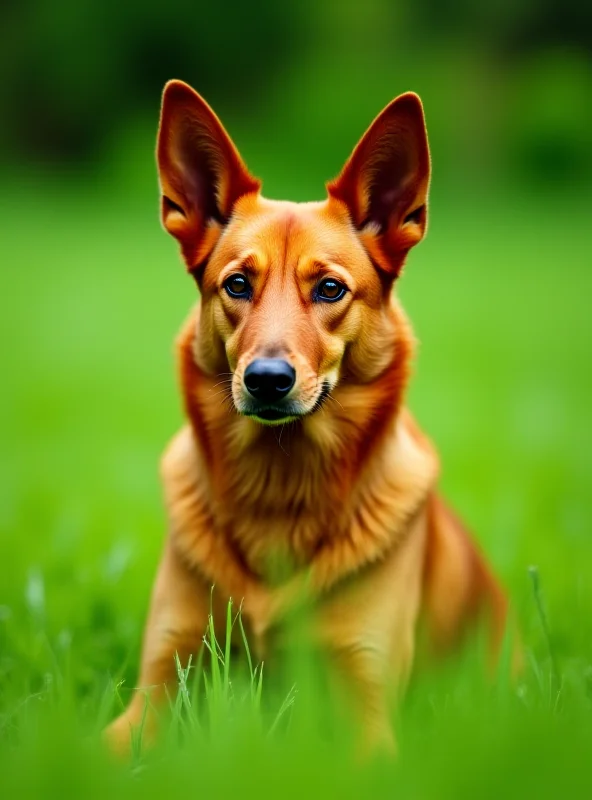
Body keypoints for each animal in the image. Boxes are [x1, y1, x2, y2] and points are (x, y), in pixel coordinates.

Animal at [103, 81, 508, 756]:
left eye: (329, 290)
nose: (267, 380)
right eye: (237, 284)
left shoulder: (366, 703)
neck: (279, 486)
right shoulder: (157, 687)